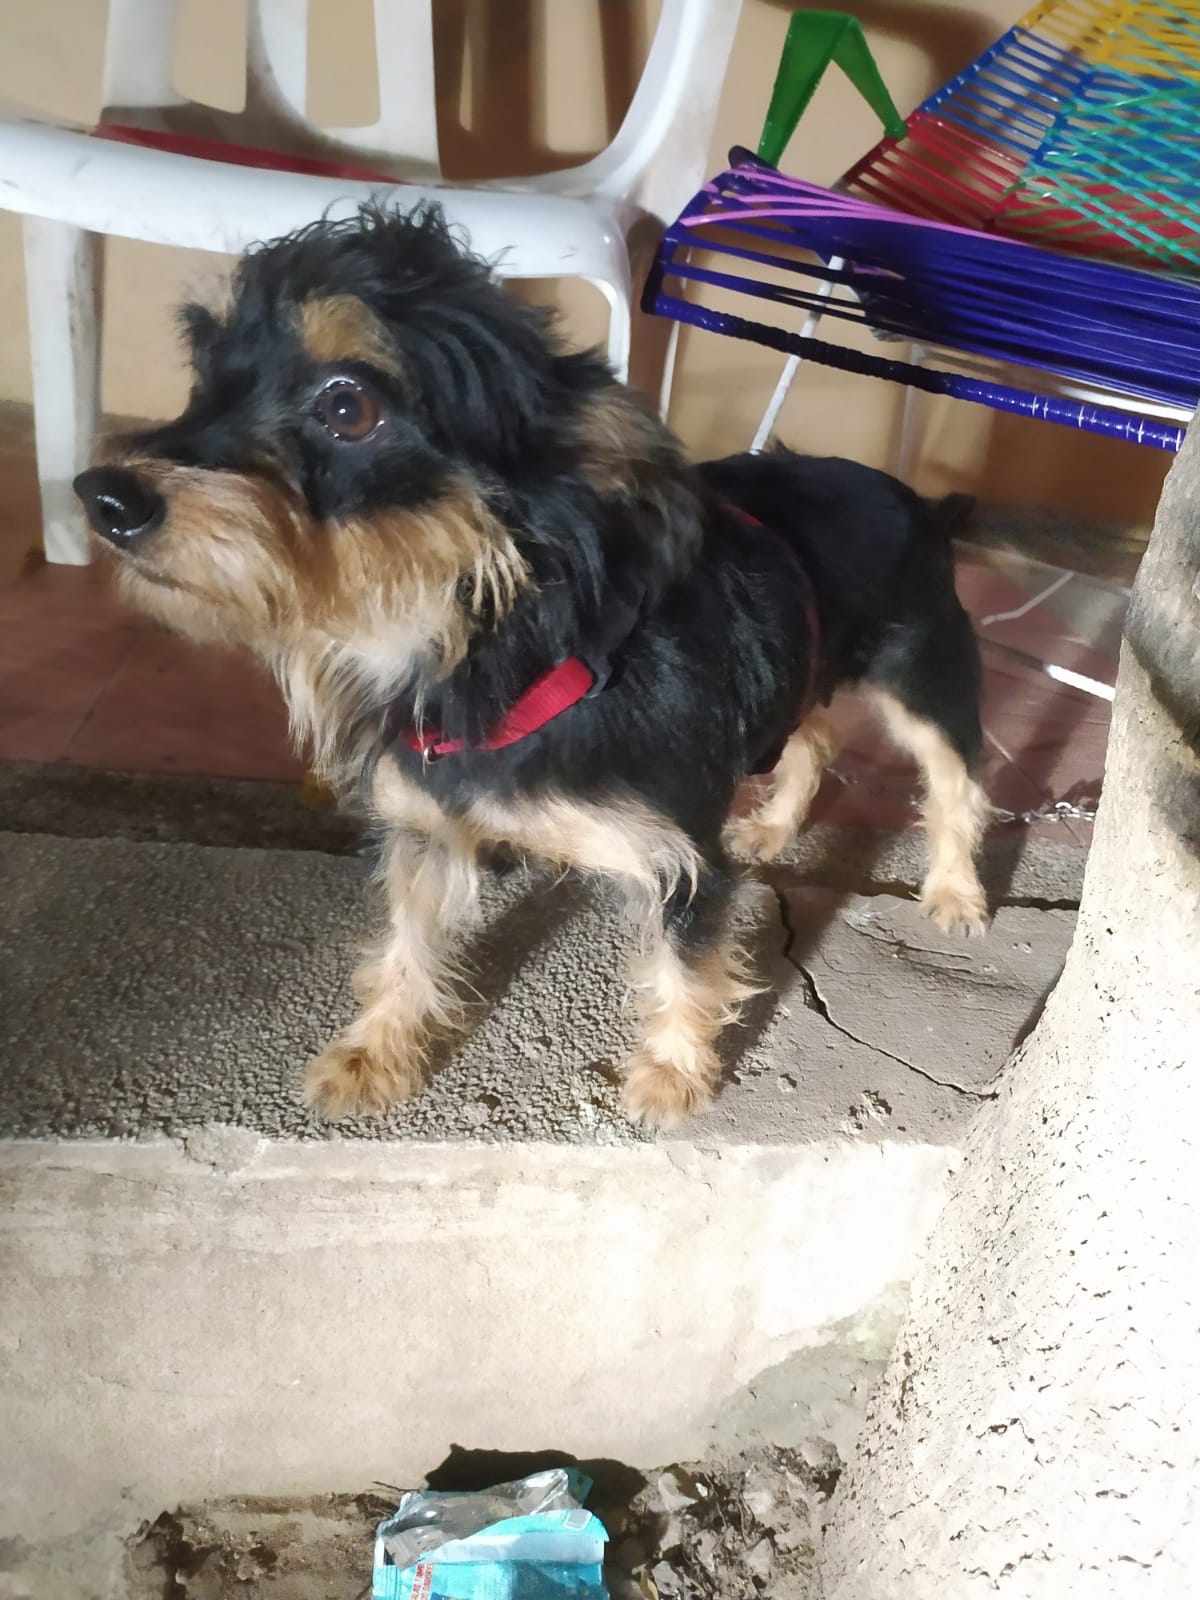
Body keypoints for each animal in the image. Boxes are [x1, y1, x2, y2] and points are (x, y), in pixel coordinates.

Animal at [74, 203, 991, 1128]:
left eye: (348, 405)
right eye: (205, 373)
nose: (102, 497)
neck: (484, 657)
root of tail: (919, 499)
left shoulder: (680, 859)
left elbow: (682, 965)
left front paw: (672, 1074)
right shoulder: (424, 828)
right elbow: (406, 942)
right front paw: (378, 1051)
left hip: (928, 677)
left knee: (955, 782)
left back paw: (955, 893)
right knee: (813, 736)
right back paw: (772, 825)